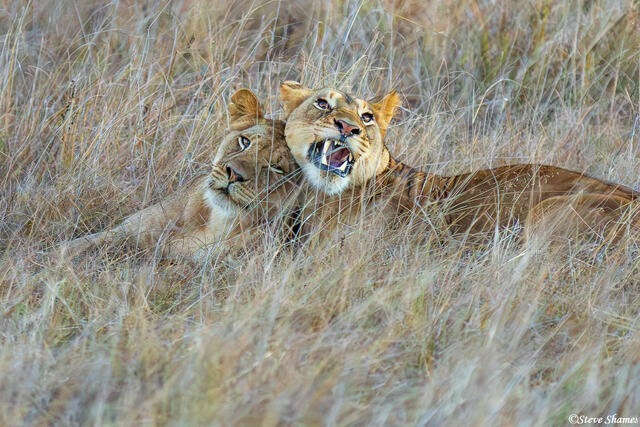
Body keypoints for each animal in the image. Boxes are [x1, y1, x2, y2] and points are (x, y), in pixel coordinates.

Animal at [61, 89, 300, 261]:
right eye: (244, 142)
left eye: (276, 168)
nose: (234, 175)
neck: (217, 221)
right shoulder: (124, 231)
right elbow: (67, 249)